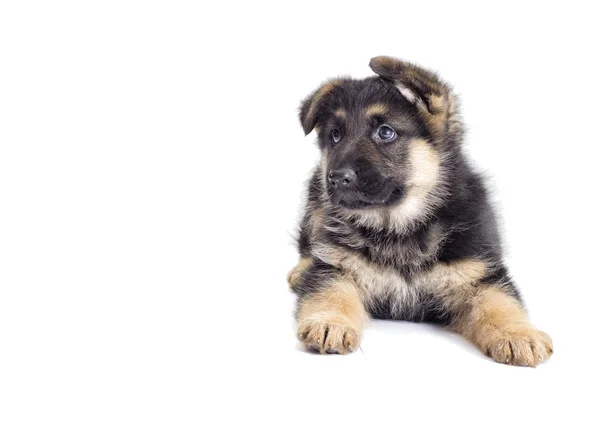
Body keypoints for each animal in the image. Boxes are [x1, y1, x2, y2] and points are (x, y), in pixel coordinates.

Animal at [290, 56, 552, 368]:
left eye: (386, 132)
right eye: (335, 135)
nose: (336, 178)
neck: (398, 225)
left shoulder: (479, 274)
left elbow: (501, 302)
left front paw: (517, 333)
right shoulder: (336, 267)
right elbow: (331, 293)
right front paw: (329, 322)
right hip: (315, 203)